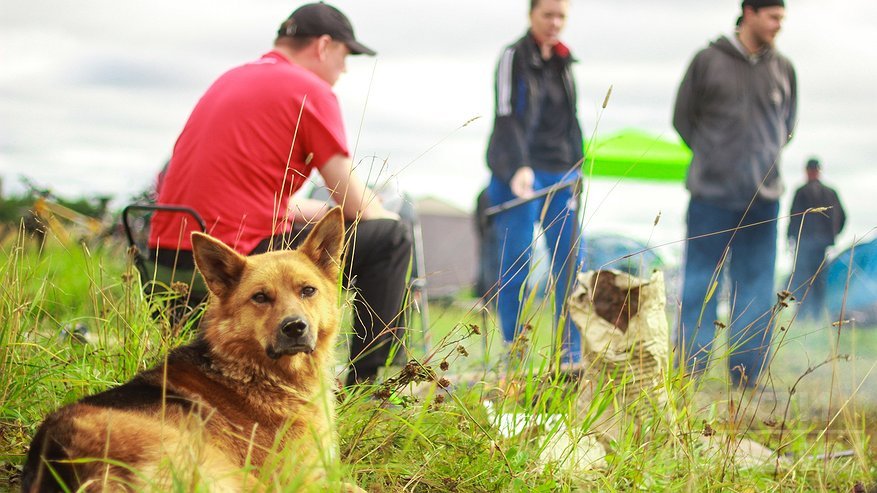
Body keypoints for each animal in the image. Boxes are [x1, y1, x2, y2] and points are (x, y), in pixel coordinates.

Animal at [23, 206, 362, 490]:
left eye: (308, 291)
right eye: (260, 297)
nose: (294, 328)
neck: (254, 371)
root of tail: (63, 459)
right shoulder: (302, 479)